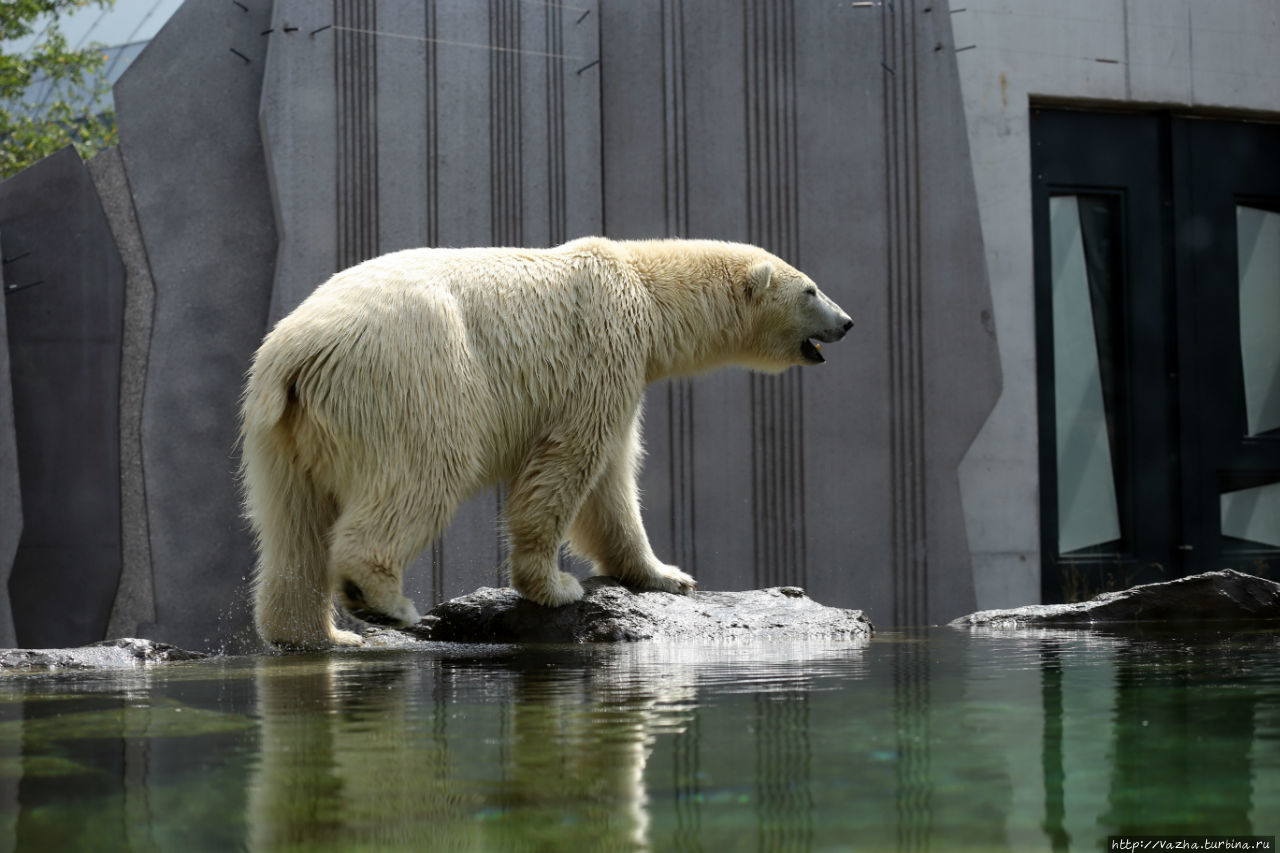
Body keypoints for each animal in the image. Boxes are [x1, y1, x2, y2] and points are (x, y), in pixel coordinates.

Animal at [244, 235, 855, 640]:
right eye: (812, 289)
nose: (847, 322)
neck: (646, 288)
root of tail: (300, 352)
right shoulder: (604, 351)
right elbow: (569, 464)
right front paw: (557, 586)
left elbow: (611, 483)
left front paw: (666, 576)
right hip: (414, 378)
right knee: (425, 473)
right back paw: (383, 602)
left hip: (280, 433)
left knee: (292, 524)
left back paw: (315, 635)